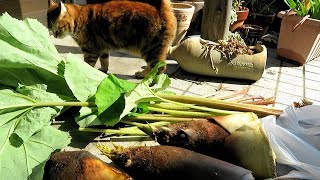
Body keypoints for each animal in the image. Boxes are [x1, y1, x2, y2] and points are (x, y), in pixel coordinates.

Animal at [47, 0, 176, 78]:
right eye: (50, 29)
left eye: (57, 29)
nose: (55, 35)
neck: (79, 17)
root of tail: (162, 12)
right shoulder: (103, 48)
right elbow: (105, 61)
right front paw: (103, 71)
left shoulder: (90, 51)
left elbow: (87, 65)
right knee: (152, 67)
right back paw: (142, 74)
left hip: (150, 50)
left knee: (160, 68)